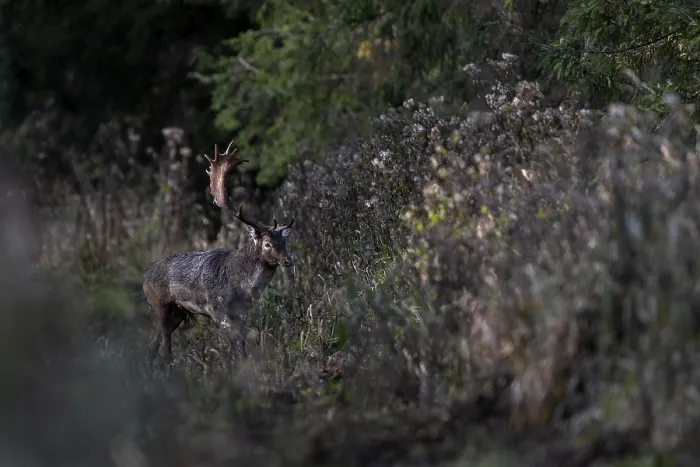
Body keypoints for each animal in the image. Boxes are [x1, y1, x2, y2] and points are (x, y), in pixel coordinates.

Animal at [142, 140, 294, 367]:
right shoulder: (218, 310)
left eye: (284, 241)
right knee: (165, 347)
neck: (241, 287)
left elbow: (241, 348)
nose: (288, 260)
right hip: (160, 304)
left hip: (178, 311)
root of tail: (144, 277)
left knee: (152, 343)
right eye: (267, 244)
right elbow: (236, 347)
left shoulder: (242, 314)